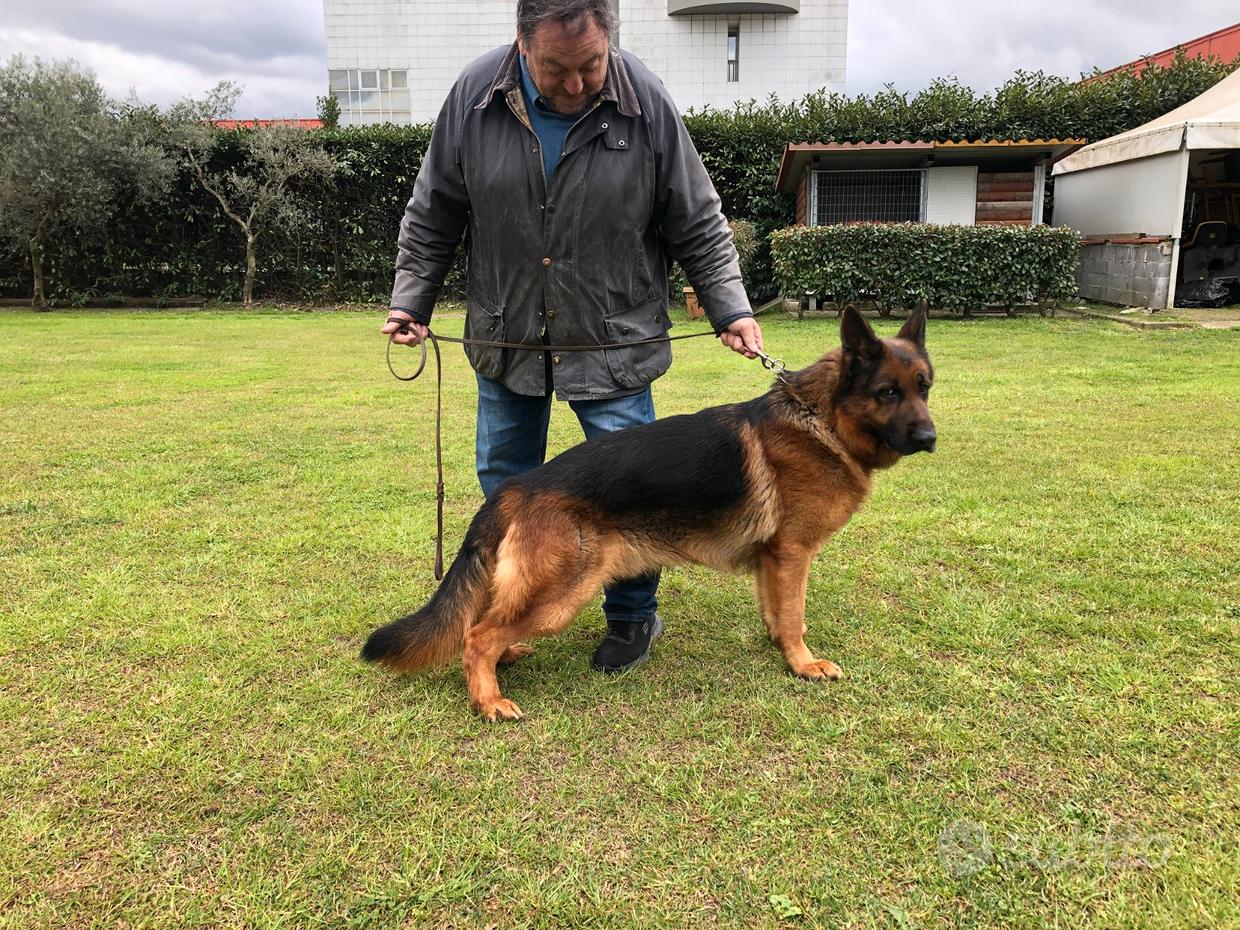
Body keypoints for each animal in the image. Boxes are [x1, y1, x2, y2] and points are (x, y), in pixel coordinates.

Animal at [362, 306, 932, 719]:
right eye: (887, 393)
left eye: (925, 388)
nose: (930, 439)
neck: (821, 419)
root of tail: (517, 488)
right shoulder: (792, 554)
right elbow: (794, 617)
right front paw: (804, 664)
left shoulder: (774, 561)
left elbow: (777, 613)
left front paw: (782, 651)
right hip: (563, 593)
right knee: (476, 635)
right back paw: (489, 701)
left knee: (484, 624)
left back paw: (504, 661)